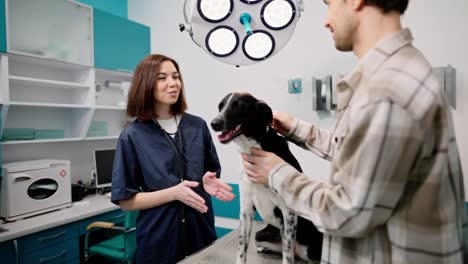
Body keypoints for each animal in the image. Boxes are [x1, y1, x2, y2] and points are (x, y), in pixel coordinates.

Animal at [211, 93, 322, 264]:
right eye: (220, 107)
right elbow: (241, 247)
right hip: (261, 235)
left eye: (239, 106)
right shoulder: (246, 208)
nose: (214, 123)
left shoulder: (288, 212)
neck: (251, 149)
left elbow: (287, 253)